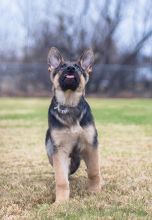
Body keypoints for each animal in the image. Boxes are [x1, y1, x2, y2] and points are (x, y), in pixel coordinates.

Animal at [45, 47, 101, 202]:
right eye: (62, 67)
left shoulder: (91, 145)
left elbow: (94, 171)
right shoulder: (60, 150)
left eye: (78, 67)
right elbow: (61, 179)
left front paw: (95, 191)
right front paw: (61, 202)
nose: (70, 68)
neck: (69, 105)